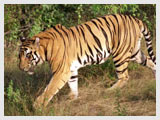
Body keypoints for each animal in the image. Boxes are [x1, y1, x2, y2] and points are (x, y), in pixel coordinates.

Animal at [18, 13, 155, 108]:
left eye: (28, 55)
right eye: (19, 56)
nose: (21, 68)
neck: (45, 49)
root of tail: (135, 19)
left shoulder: (61, 71)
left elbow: (50, 88)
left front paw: (37, 105)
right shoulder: (71, 69)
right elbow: (73, 84)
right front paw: (72, 98)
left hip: (120, 54)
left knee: (124, 77)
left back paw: (108, 91)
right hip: (135, 53)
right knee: (151, 62)